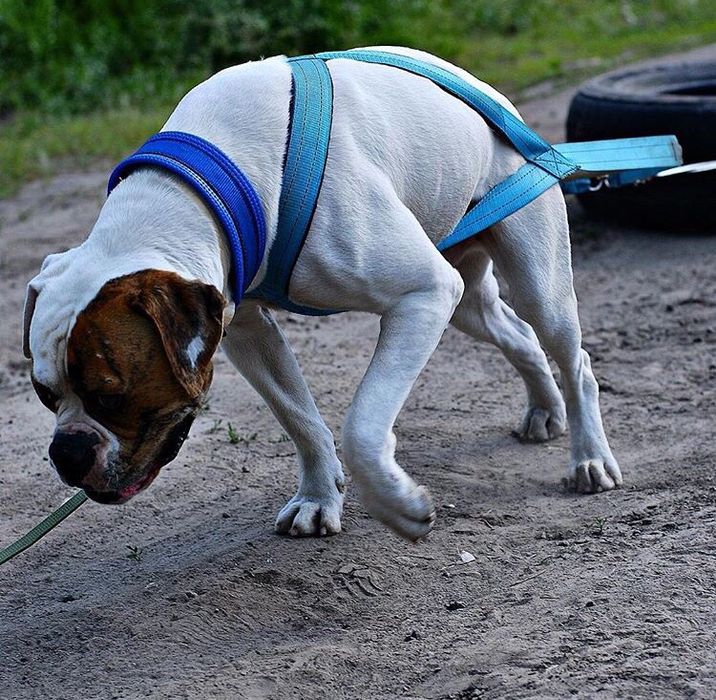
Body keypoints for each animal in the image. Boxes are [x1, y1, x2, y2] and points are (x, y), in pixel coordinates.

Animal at [21, 47, 620, 540]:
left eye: (111, 396)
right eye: (45, 396)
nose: (67, 451)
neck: (205, 192)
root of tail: (493, 98)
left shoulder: (422, 295)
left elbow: (362, 425)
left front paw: (398, 505)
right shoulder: (244, 330)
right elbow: (299, 417)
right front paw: (317, 498)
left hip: (535, 285)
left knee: (574, 360)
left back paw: (589, 457)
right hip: (467, 302)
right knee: (517, 336)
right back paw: (544, 409)